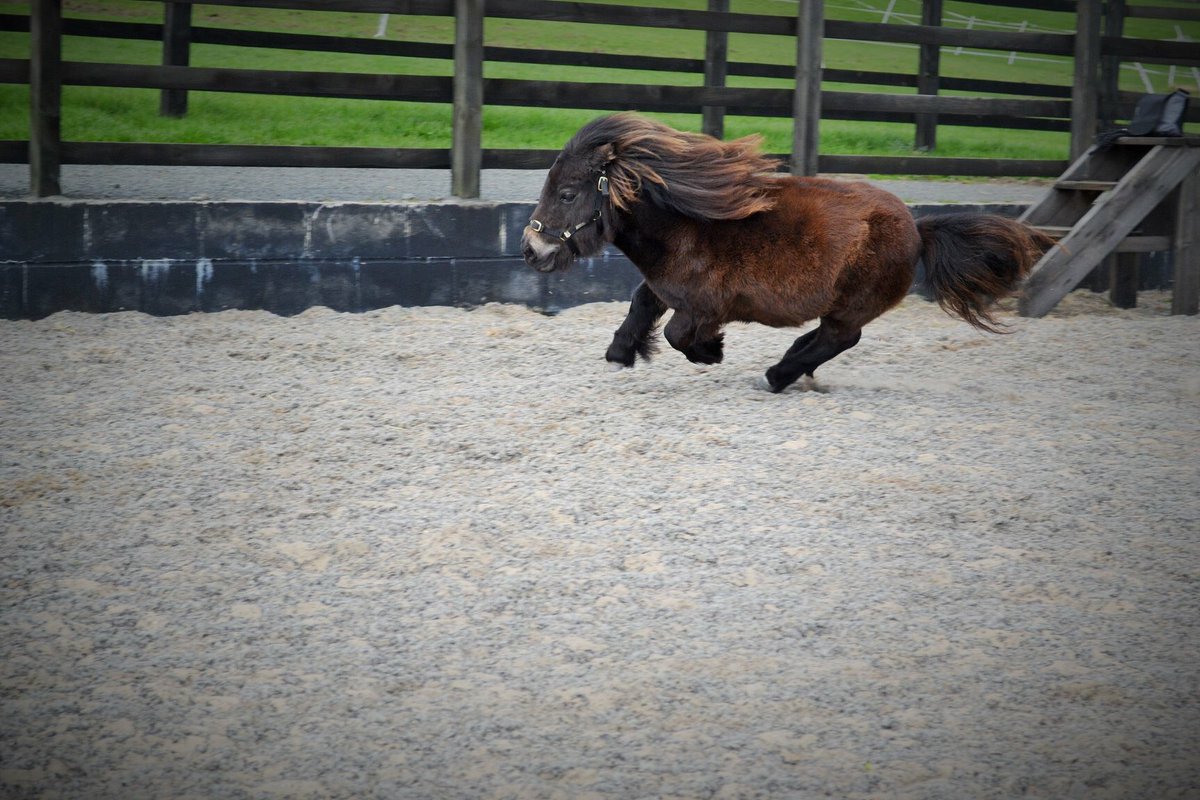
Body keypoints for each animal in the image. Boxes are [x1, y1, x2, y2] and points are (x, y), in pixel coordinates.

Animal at [520, 113, 1052, 392]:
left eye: (567, 193)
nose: (530, 249)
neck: (685, 225)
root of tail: (917, 229)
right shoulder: (663, 286)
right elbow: (640, 306)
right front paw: (620, 354)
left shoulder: (706, 306)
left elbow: (676, 334)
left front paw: (711, 353)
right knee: (826, 338)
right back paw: (794, 367)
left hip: (854, 306)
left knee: (840, 338)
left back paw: (778, 375)